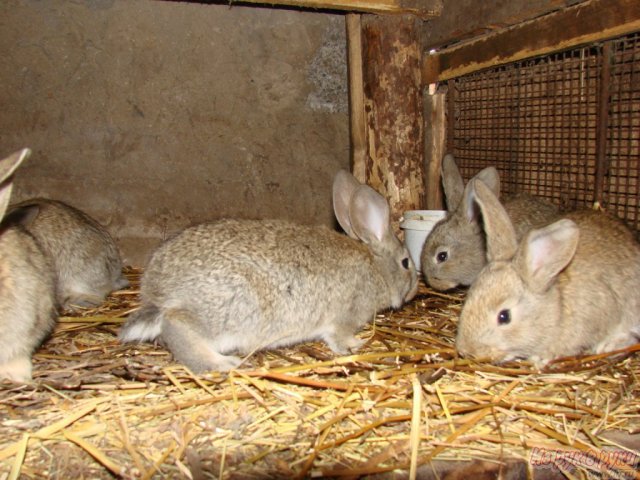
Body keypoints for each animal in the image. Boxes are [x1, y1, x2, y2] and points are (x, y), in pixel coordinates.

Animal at [121, 171, 420, 374]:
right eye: (406, 262)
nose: (415, 290)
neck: (376, 268)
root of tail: (158, 292)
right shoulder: (344, 316)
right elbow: (339, 337)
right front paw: (356, 345)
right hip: (229, 309)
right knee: (177, 326)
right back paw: (222, 363)